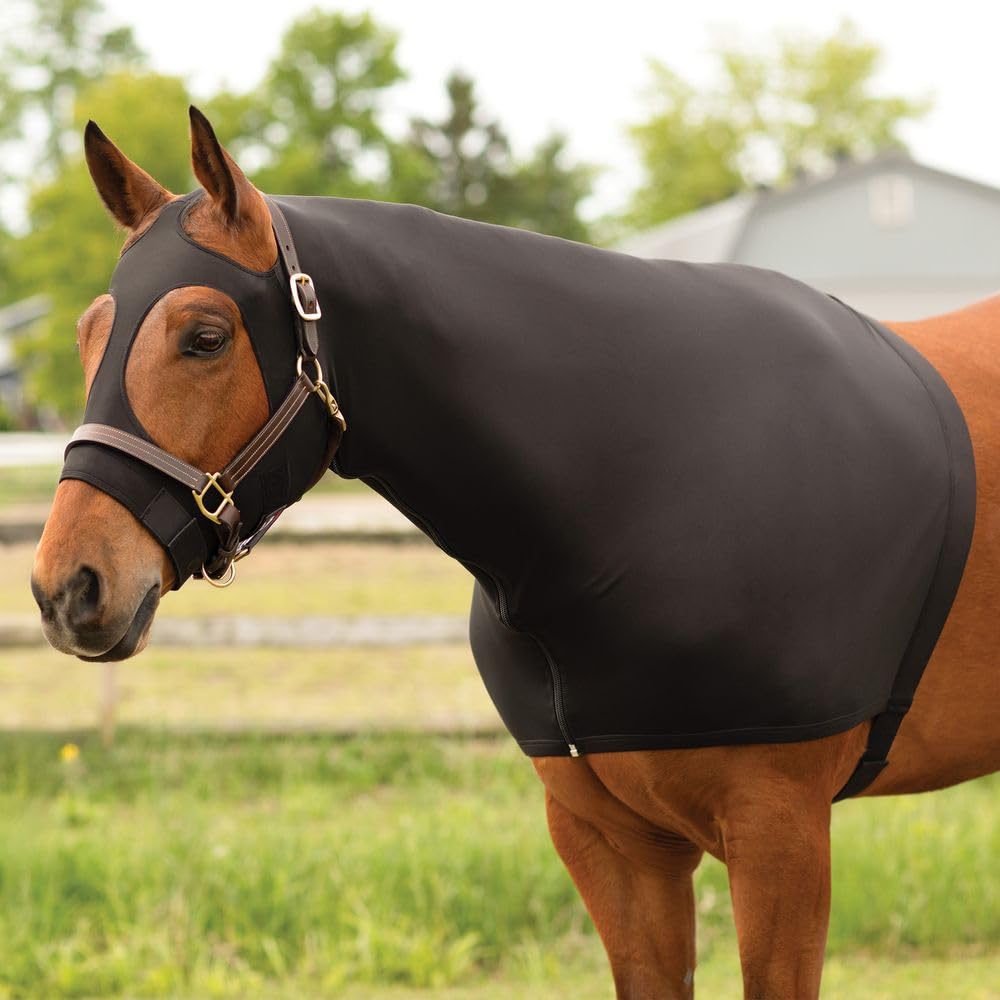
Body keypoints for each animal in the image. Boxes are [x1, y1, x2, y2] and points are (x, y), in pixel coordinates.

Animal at [31, 108, 999, 999]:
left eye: (204, 336)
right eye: (86, 334)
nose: (67, 588)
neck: (649, 471)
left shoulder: (781, 835)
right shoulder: (610, 842)